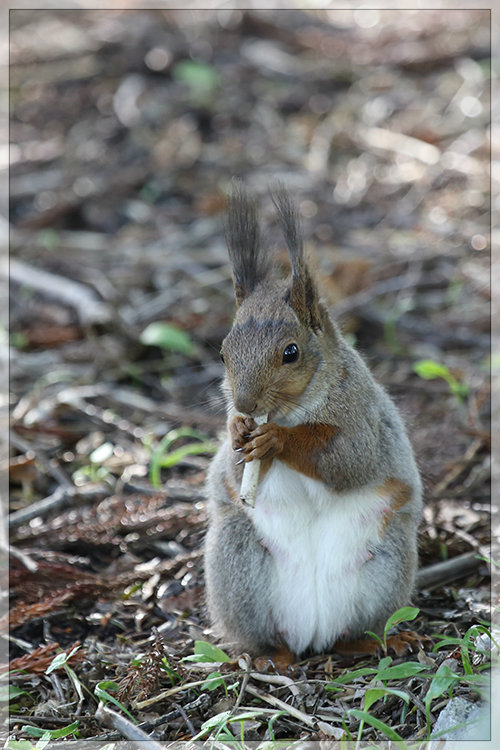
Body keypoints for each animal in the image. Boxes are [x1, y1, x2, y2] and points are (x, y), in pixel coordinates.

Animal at [203, 182, 422, 664]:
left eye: (291, 353)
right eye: (223, 353)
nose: (245, 402)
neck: (294, 410)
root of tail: (313, 632)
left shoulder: (363, 421)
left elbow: (346, 460)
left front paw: (276, 440)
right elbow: (233, 468)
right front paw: (239, 433)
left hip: (388, 561)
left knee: (355, 631)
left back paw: (376, 640)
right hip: (236, 559)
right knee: (269, 635)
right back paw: (270, 654)